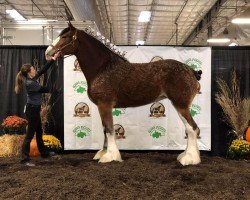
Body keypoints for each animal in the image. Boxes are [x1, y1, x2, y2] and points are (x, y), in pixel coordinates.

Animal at [45, 22, 203, 166]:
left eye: (64, 36)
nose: (47, 52)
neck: (103, 68)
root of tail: (191, 71)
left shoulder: (105, 105)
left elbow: (109, 129)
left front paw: (110, 156)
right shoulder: (102, 107)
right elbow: (105, 129)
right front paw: (103, 152)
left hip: (181, 105)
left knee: (192, 128)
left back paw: (189, 158)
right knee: (191, 129)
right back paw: (186, 156)